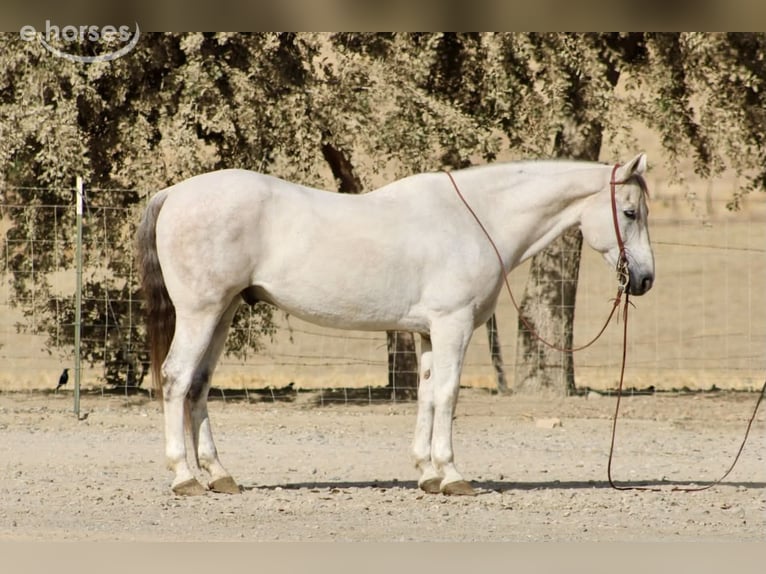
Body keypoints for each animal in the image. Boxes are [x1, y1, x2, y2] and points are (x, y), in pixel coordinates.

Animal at [136, 153, 655, 496]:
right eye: (630, 212)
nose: (646, 279)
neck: (476, 220)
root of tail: (173, 193)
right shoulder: (452, 326)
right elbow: (447, 395)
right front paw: (453, 476)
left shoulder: (427, 332)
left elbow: (426, 395)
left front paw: (426, 473)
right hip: (201, 312)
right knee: (176, 379)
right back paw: (185, 478)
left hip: (223, 313)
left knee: (199, 386)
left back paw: (219, 475)